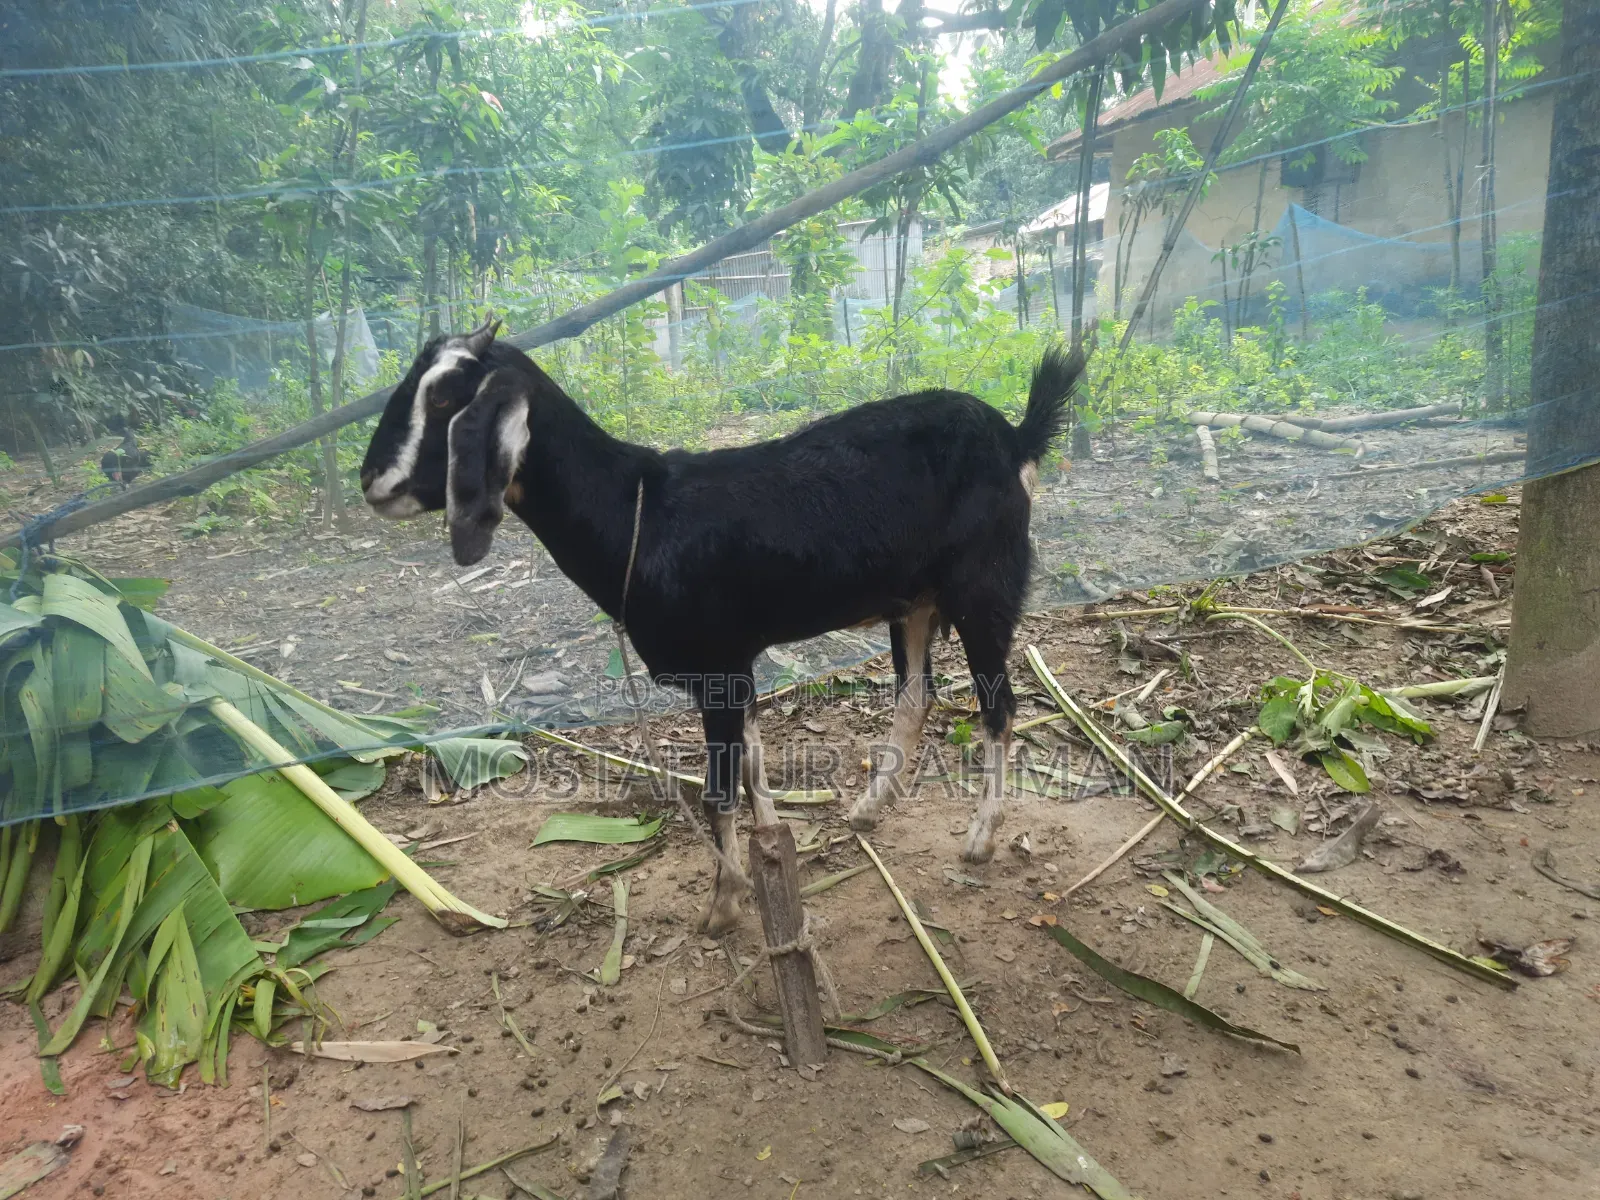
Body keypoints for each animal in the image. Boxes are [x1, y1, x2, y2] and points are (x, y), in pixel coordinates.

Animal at [361, 319, 1082, 933]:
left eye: (447, 397)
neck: (639, 514)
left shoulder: (716, 670)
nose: (373, 482)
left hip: (984, 585)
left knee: (998, 708)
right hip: (916, 601)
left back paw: (980, 839)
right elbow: (753, 767)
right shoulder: (737, 665)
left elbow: (718, 794)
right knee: (914, 698)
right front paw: (768, 856)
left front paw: (724, 906)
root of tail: (1016, 436)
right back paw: (867, 810)